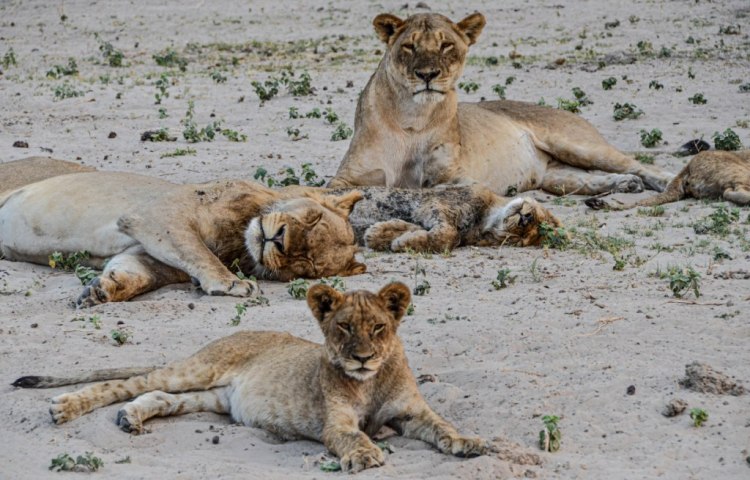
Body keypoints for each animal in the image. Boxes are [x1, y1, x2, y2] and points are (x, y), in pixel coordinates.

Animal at [16, 282, 494, 472]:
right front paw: (364, 455)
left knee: (159, 397)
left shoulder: (411, 413)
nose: (361, 358)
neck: (370, 382)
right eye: (343, 327)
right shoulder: (335, 422)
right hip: (196, 369)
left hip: (212, 397)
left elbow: (443, 425)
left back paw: (129, 419)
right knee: (128, 384)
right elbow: (353, 436)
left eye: (378, 327)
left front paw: (472, 443)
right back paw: (65, 407)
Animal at [330, 13, 676, 197]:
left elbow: (436, 185)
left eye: (446, 45)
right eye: (409, 46)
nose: (427, 74)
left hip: (577, 144)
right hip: (556, 176)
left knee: (639, 164)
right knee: (587, 179)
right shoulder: (347, 177)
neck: (413, 118)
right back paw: (623, 184)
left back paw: (664, 181)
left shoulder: (454, 176)